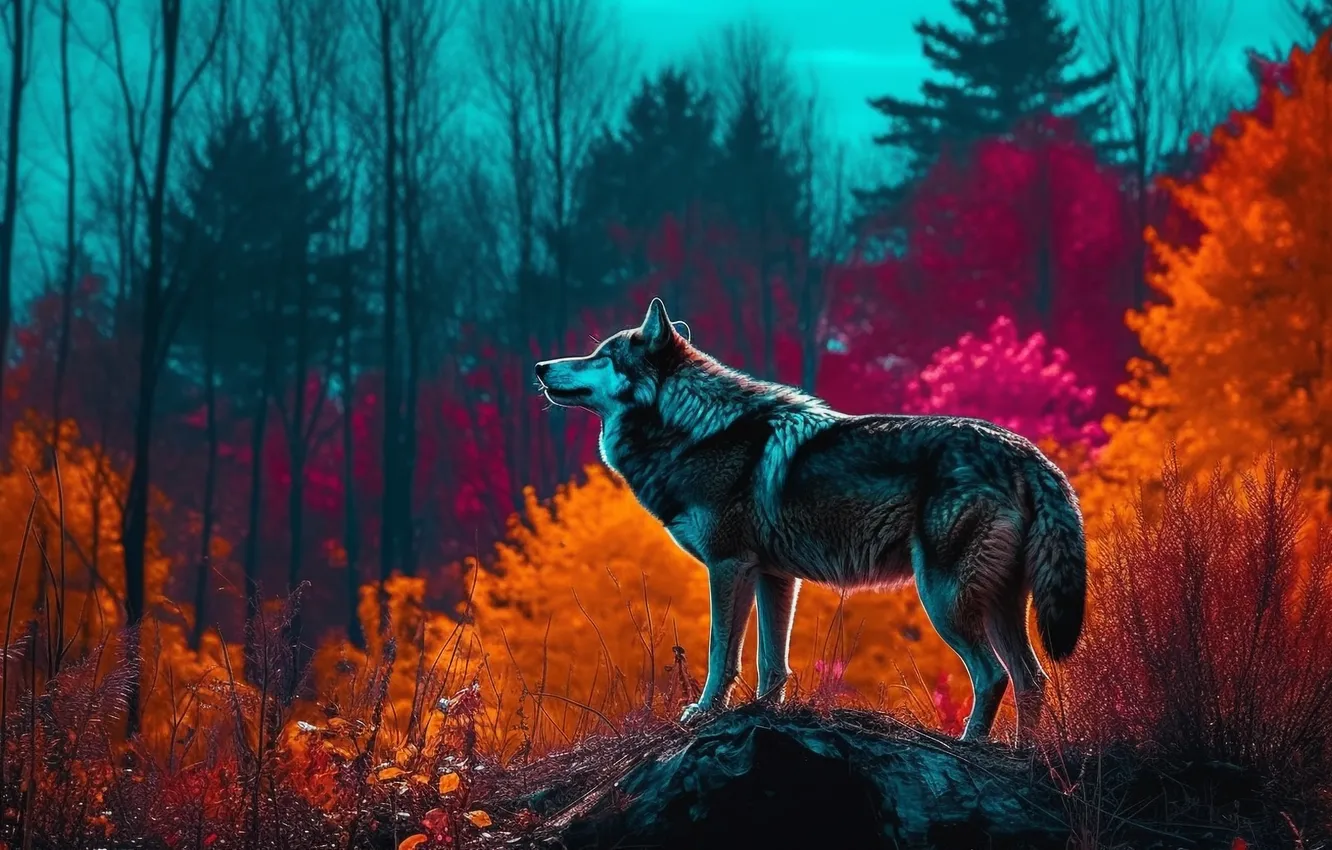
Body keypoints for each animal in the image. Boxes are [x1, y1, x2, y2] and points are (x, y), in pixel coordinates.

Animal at [534, 298, 1087, 742]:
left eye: (601, 357)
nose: (539, 365)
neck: (695, 429)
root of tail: (1028, 454)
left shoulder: (728, 565)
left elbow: (721, 654)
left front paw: (704, 714)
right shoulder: (775, 576)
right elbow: (770, 663)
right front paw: (763, 713)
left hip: (944, 599)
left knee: (993, 676)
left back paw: (972, 747)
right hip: (995, 604)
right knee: (1031, 677)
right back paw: (1024, 755)